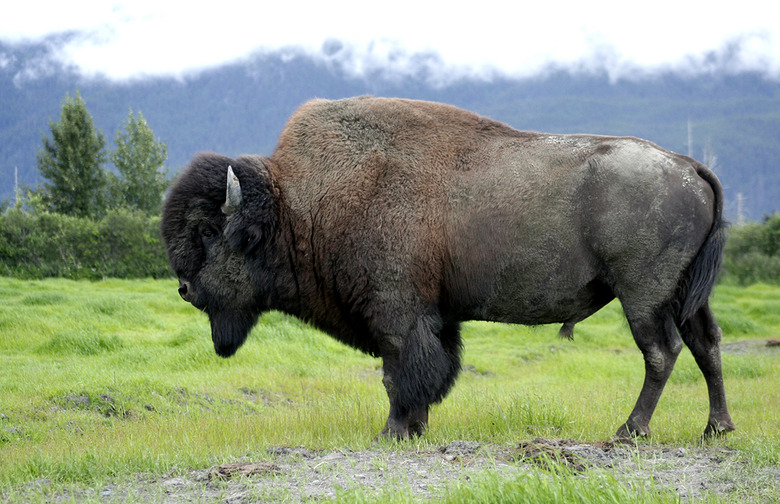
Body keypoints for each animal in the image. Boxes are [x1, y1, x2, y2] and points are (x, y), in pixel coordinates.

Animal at [161, 95, 736, 440]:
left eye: (209, 233)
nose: (185, 288)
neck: (299, 204)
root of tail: (689, 165)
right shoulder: (437, 316)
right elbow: (433, 371)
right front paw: (415, 429)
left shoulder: (396, 314)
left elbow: (399, 373)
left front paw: (392, 432)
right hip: (688, 295)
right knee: (706, 344)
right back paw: (717, 429)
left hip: (643, 295)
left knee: (662, 352)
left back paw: (629, 430)